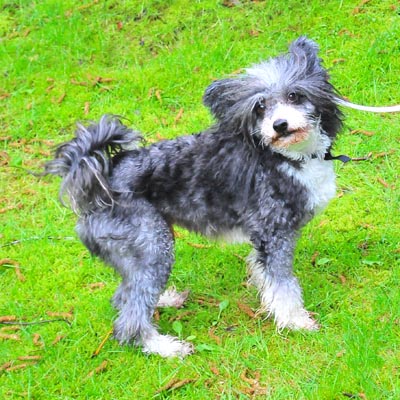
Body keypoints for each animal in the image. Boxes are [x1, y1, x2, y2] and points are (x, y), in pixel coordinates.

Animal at [45, 37, 348, 357]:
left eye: (294, 95)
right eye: (260, 107)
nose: (279, 125)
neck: (285, 156)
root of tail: (98, 181)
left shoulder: (263, 238)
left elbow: (264, 273)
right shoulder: (274, 232)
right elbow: (283, 283)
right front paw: (294, 321)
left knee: (124, 294)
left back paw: (164, 300)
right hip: (153, 245)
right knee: (128, 318)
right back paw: (164, 347)